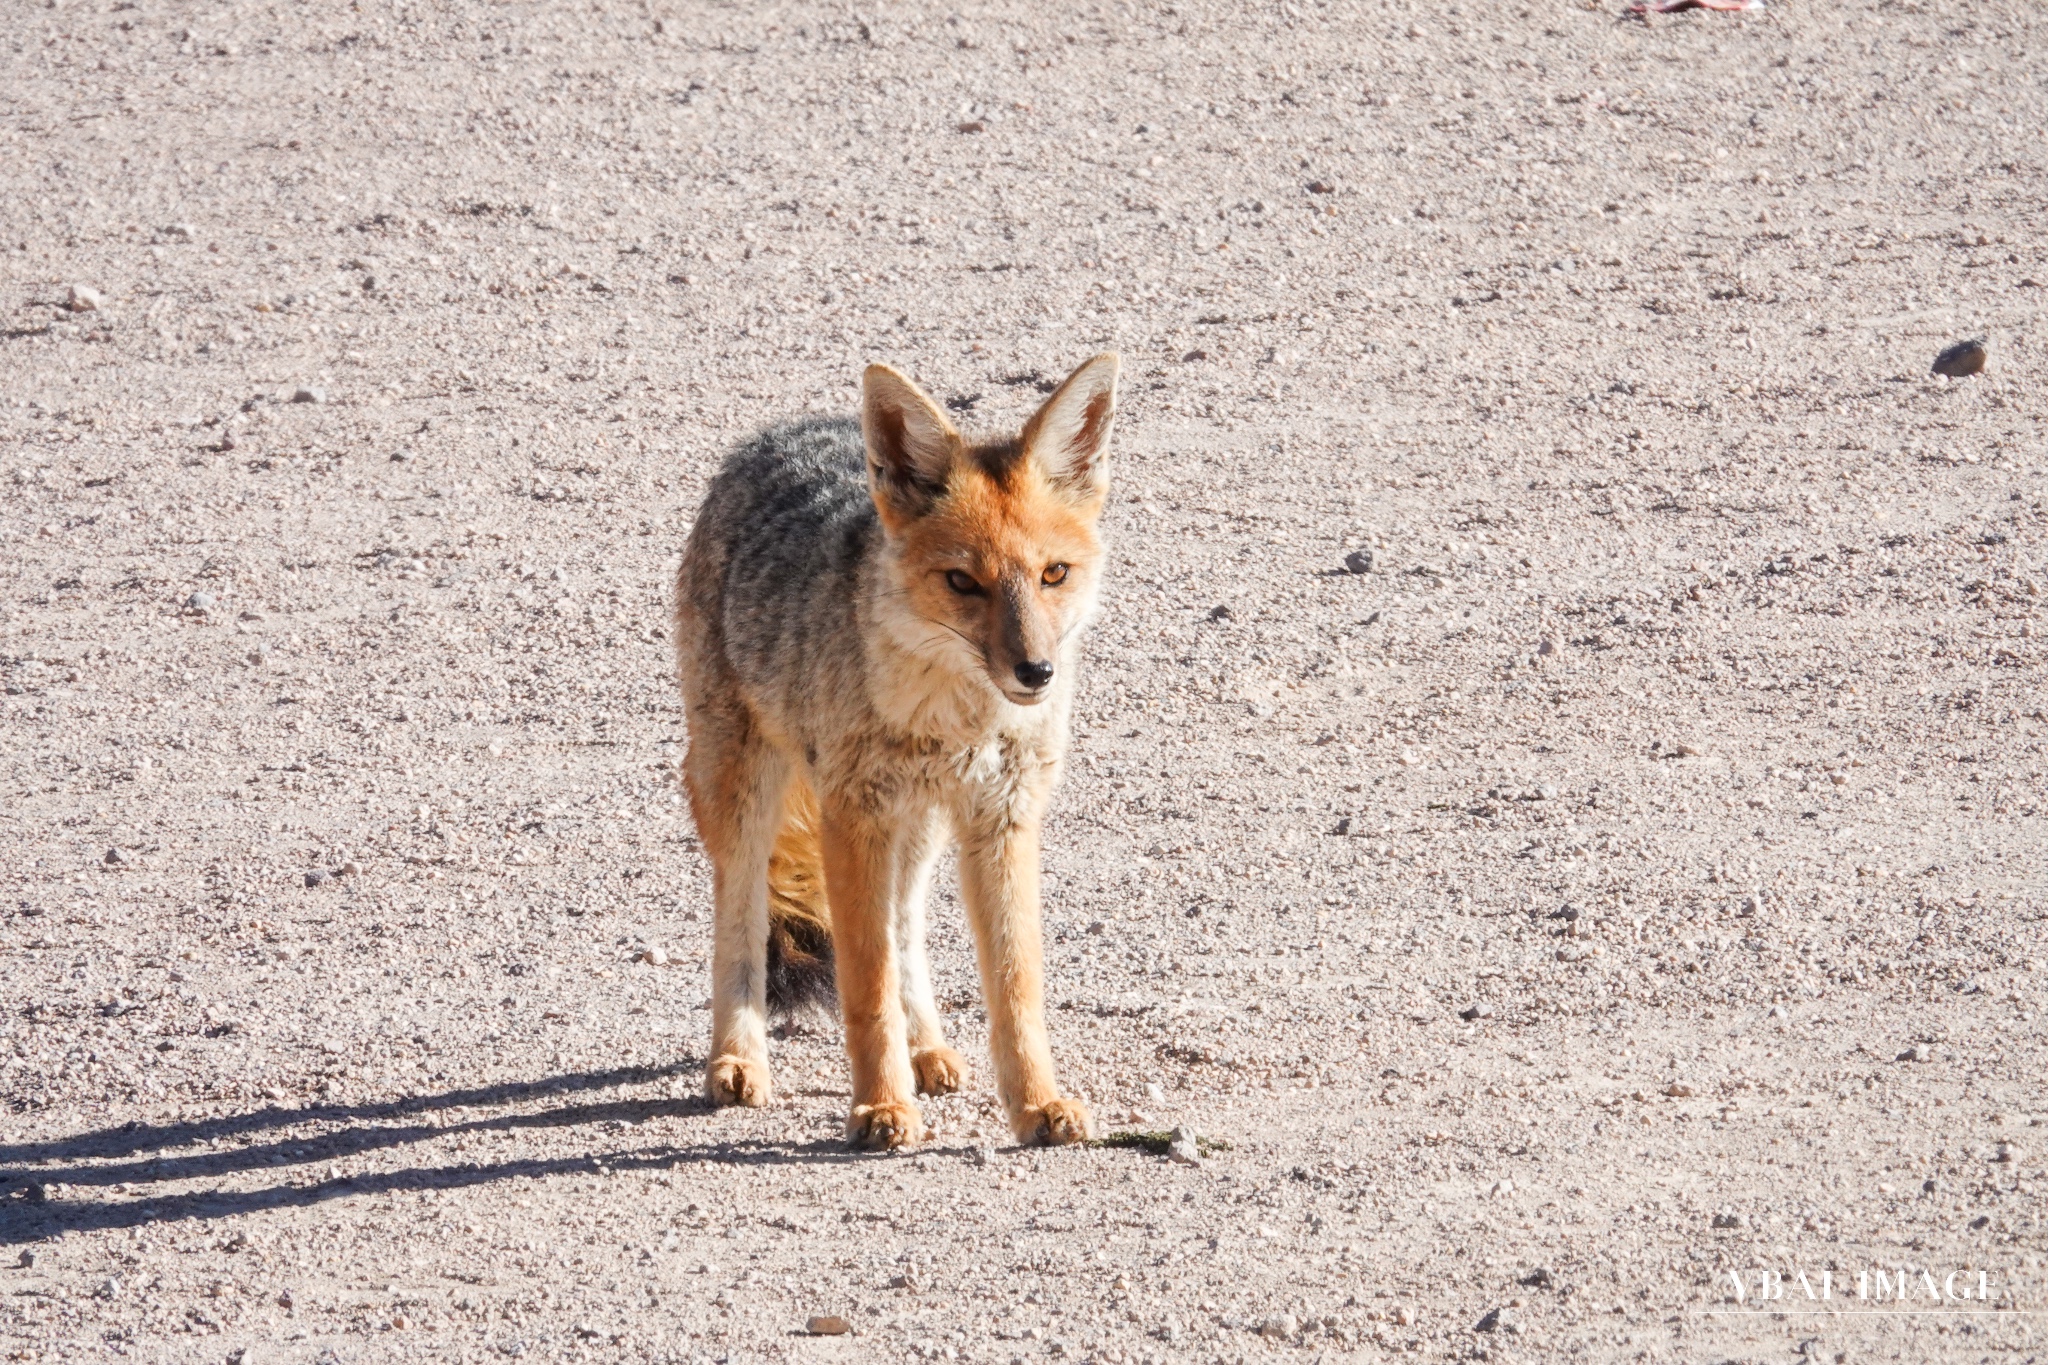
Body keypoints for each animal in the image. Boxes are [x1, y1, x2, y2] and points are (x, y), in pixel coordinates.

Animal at [671, 356, 1122, 1154]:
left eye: (1054, 574)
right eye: (963, 581)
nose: (1036, 672)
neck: (958, 721)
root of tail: (784, 428)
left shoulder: (1001, 821)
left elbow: (1015, 987)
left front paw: (1037, 1102)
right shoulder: (852, 821)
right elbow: (865, 984)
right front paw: (880, 1107)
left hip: (920, 830)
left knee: (906, 921)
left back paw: (928, 1049)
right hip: (746, 791)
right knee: (740, 914)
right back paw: (737, 1058)